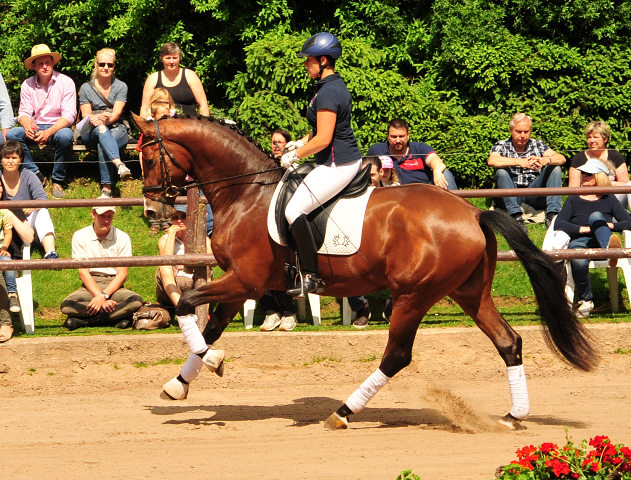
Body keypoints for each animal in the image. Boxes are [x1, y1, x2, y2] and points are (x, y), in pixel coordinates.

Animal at [133, 114, 596, 430]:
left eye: (150, 157)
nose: (151, 212)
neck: (246, 193)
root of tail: (473, 213)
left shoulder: (245, 280)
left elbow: (187, 304)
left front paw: (211, 363)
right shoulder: (239, 286)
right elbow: (209, 328)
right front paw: (181, 381)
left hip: (413, 295)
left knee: (397, 355)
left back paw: (343, 412)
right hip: (469, 292)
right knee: (508, 342)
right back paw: (513, 416)